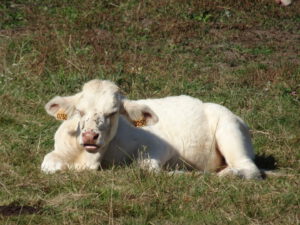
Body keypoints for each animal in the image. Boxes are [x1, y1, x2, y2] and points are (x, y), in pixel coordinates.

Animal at [41, 79, 262, 179]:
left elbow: (148, 168)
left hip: (230, 131)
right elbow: (48, 164)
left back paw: (228, 174)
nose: (89, 136)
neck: (87, 160)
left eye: (113, 112)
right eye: (79, 111)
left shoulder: (160, 146)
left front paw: (181, 173)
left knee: (250, 168)